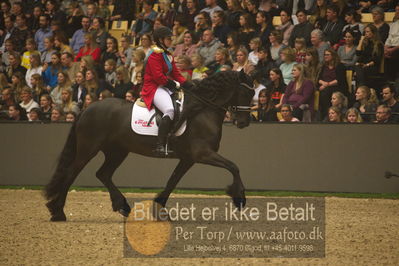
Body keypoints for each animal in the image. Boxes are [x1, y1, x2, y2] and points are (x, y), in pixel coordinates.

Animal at [44, 69, 256, 221]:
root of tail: (87, 109)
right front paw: (239, 198)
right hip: (89, 149)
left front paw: (160, 209)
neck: (202, 110)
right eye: (246, 92)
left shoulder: (188, 158)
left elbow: (173, 181)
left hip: (117, 151)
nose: (244, 123)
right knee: (71, 173)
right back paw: (58, 212)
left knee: (103, 174)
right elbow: (233, 166)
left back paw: (122, 206)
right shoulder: (203, 153)